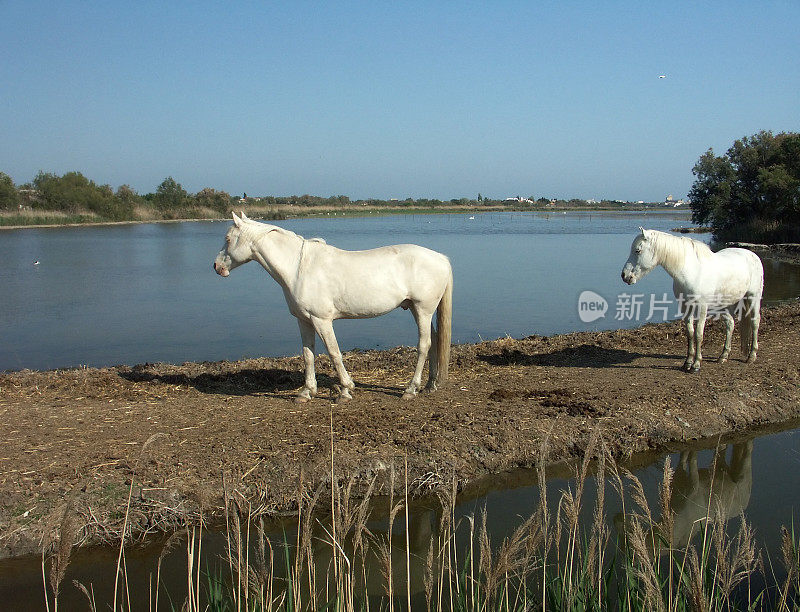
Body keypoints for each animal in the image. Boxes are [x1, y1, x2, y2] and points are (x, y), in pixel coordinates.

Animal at [212, 214, 454, 402]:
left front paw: (346, 390)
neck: (299, 268)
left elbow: (333, 352)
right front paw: (306, 392)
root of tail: (441, 258)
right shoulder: (304, 320)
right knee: (433, 342)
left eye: (228, 238)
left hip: (423, 310)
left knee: (424, 345)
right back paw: (430, 385)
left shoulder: (322, 320)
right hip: (416, 309)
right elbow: (308, 354)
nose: (216, 266)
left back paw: (410, 389)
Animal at [620, 227, 764, 372]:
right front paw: (688, 362)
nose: (624, 276)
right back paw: (723, 356)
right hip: (726, 304)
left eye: (637, 250)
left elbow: (698, 334)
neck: (692, 272)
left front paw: (696, 365)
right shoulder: (685, 307)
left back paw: (751, 356)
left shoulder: (702, 308)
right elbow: (690, 333)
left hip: (753, 297)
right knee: (730, 324)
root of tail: (752, 255)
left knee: (755, 322)